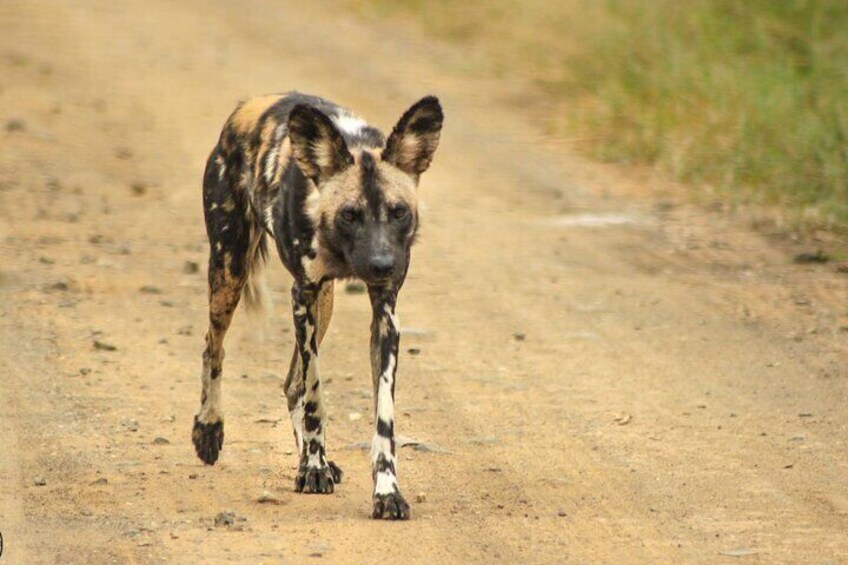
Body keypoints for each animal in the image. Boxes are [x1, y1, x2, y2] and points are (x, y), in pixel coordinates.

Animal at [192, 90, 444, 516]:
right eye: (350, 215)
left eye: (398, 212)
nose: (382, 264)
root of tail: (248, 105)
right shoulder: (303, 296)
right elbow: (314, 397)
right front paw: (312, 469)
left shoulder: (384, 313)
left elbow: (383, 418)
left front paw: (387, 491)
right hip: (230, 269)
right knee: (214, 346)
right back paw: (209, 429)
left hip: (324, 303)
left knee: (290, 383)